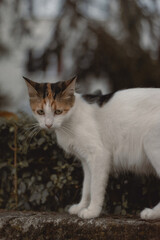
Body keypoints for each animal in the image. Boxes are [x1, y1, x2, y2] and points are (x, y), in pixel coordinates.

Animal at [24, 75, 160, 219]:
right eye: (40, 112)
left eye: (58, 111)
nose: (48, 124)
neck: (70, 121)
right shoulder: (86, 161)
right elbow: (86, 187)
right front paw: (81, 206)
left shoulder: (99, 155)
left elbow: (95, 187)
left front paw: (92, 211)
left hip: (151, 144)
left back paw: (152, 213)